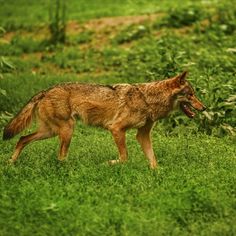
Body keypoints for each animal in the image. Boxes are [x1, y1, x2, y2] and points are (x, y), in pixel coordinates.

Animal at [2, 71, 205, 169]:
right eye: (191, 95)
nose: (204, 108)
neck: (148, 99)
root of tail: (45, 90)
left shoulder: (142, 135)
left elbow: (153, 160)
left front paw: (158, 175)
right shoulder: (116, 129)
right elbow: (124, 158)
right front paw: (108, 164)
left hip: (50, 131)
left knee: (22, 139)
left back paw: (10, 163)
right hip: (67, 130)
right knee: (59, 156)